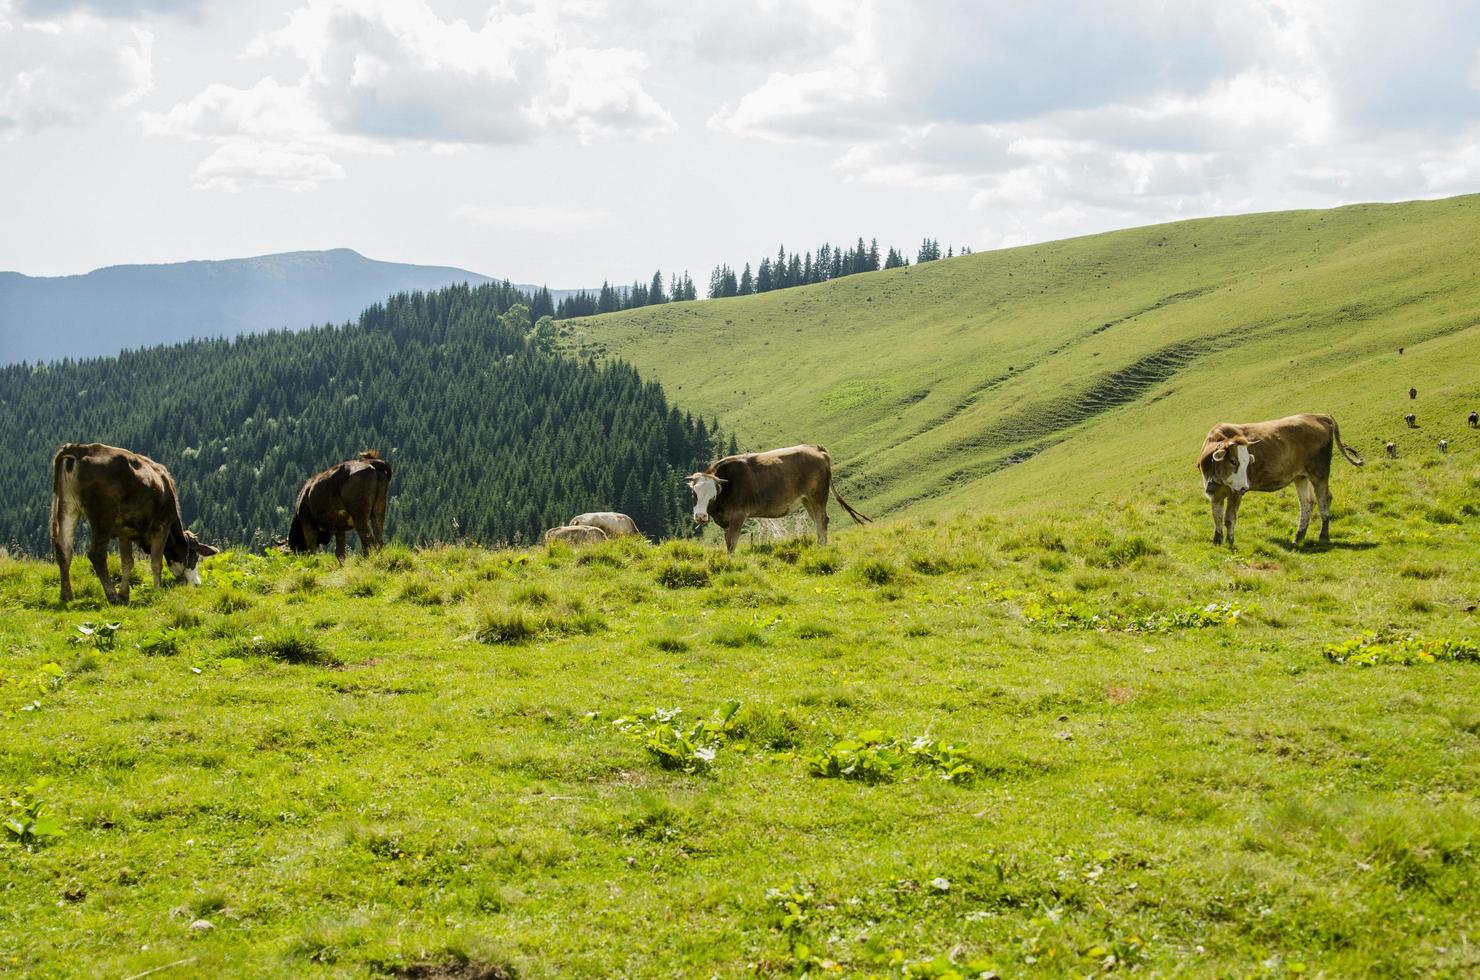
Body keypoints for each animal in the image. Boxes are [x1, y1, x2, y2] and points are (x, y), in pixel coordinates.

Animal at [51, 444, 217, 606]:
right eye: (195, 557)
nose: (197, 584)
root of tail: (79, 448)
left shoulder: (124, 531)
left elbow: (127, 562)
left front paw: (124, 595)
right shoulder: (161, 527)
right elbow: (156, 563)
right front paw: (157, 591)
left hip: (68, 507)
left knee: (64, 549)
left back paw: (66, 595)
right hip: (102, 516)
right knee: (97, 555)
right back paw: (111, 596)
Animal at [686, 444, 870, 553]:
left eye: (712, 495)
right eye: (694, 493)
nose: (700, 516)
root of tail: (816, 449)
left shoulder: (738, 516)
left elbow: (732, 543)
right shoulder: (726, 520)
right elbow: (727, 541)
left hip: (818, 495)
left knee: (822, 520)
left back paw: (822, 547)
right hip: (807, 500)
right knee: (819, 520)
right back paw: (820, 545)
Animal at [1189, 414, 1361, 553]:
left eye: (1247, 462)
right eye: (1233, 461)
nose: (1245, 487)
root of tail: (1318, 416)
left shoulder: (1235, 493)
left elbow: (1229, 518)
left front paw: (1230, 542)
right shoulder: (1215, 493)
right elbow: (1216, 517)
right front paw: (1216, 542)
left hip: (1319, 472)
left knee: (1324, 499)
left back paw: (1323, 536)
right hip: (1301, 476)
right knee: (1307, 503)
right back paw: (1297, 538)